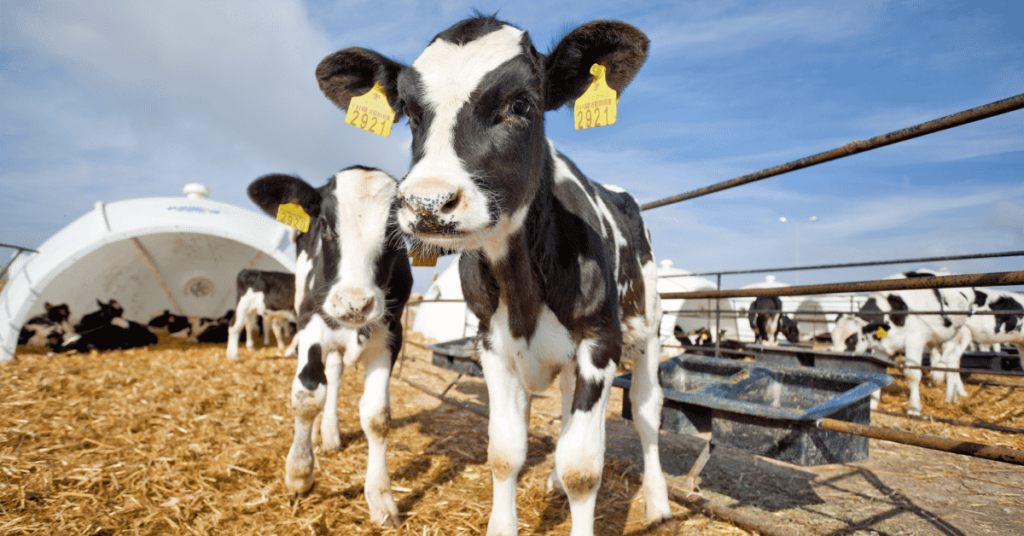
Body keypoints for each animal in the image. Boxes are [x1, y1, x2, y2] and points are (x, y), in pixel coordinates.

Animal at [247, 166, 412, 528]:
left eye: (396, 233)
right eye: (323, 223)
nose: (355, 303)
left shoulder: (391, 335)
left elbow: (377, 415)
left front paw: (381, 497)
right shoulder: (311, 323)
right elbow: (308, 396)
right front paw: (299, 474)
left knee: (334, 374)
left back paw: (331, 434)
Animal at [314, 16, 672, 534]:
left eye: (521, 104)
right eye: (410, 113)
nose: (427, 202)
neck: (522, 283)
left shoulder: (599, 341)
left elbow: (584, 468)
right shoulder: (492, 344)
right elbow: (505, 452)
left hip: (649, 329)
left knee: (646, 412)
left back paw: (658, 503)